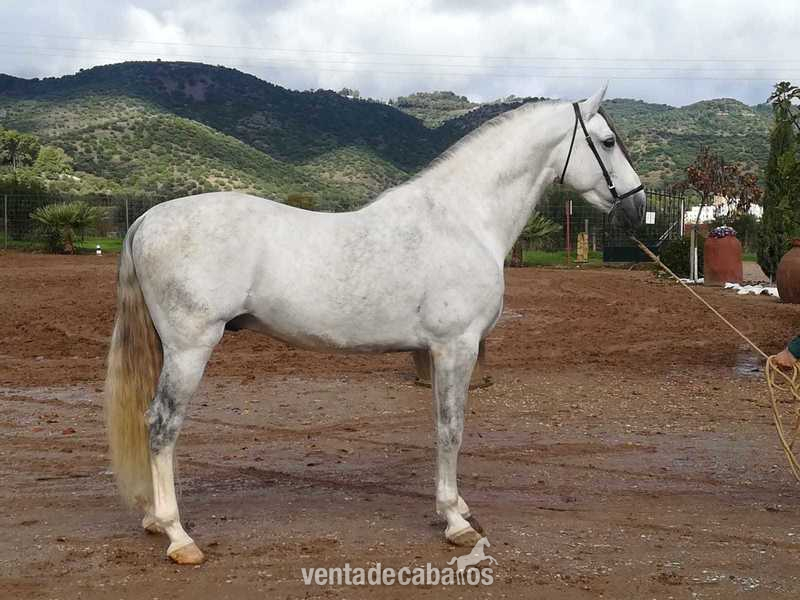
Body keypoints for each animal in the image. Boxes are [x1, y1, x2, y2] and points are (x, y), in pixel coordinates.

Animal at [104, 84, 645, 564]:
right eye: (607, 141)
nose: (638, 205)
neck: (463, 220)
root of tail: (145, 220)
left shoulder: (440, 351)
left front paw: (458, 505)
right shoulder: (456, 347)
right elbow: (451, 428)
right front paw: (455, 521)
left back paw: (153, 519)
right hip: (190, 348)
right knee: (162, 425)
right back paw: (177, 535)